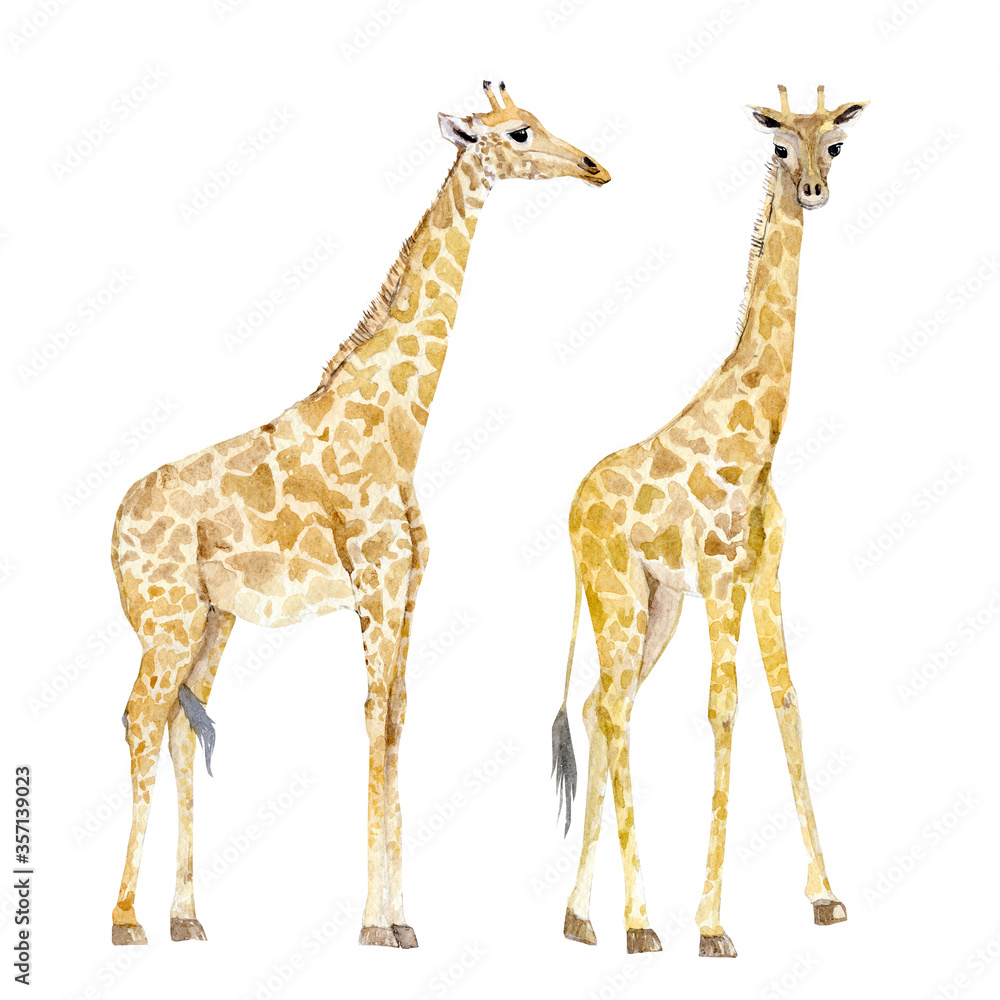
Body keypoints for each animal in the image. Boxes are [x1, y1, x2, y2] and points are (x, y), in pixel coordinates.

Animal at [110, 81, 610, 948]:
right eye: (518, 132)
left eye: (542, 121)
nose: (593, 166)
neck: (398, 425)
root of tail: (110, 523)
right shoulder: (373, 587)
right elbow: (374, 720)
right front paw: (375, 926)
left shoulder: (407, 591)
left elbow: (398, 720)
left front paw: (403, 921)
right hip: (164, 615)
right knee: (138, 718)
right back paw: (125, 921)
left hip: (211, 619)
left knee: (174, 723)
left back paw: (186, 918)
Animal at [551, 85, 866, 957]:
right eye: (781, 149)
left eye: (835, 146)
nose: (814, 193)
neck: (759, 435)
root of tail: (571, 509)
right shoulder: (722, 577)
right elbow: (725, 710)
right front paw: (713, 923)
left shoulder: (763, 575)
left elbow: (788, 703)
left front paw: (826, 896)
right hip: (618, 595)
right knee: (612, 708)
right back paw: (639, 922)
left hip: (654, 604)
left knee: (600, 706)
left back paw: (581, 917)